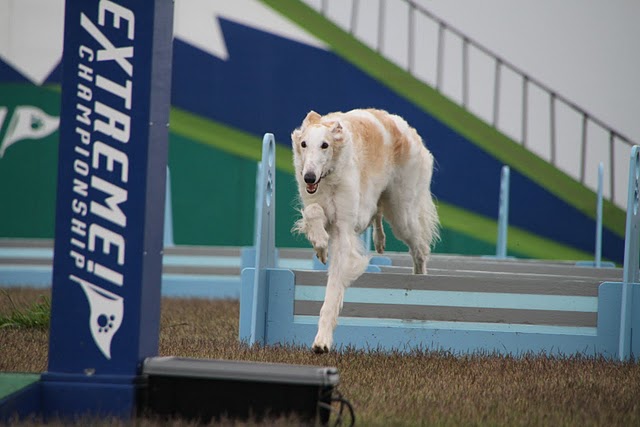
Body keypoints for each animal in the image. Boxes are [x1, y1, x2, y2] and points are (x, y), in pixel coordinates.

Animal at [292, 108, 438, 352]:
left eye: (325, 145)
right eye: (303, 144)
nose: (309, 177)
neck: (330, 176)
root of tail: (404, 126)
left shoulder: (344, 229)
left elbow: (332, 293)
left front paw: (322, 340)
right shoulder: (317, 202)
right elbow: (313, 210)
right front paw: (319, 243)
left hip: (402, 215)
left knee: (420, 249)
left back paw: (421, 278)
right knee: (379, 218)